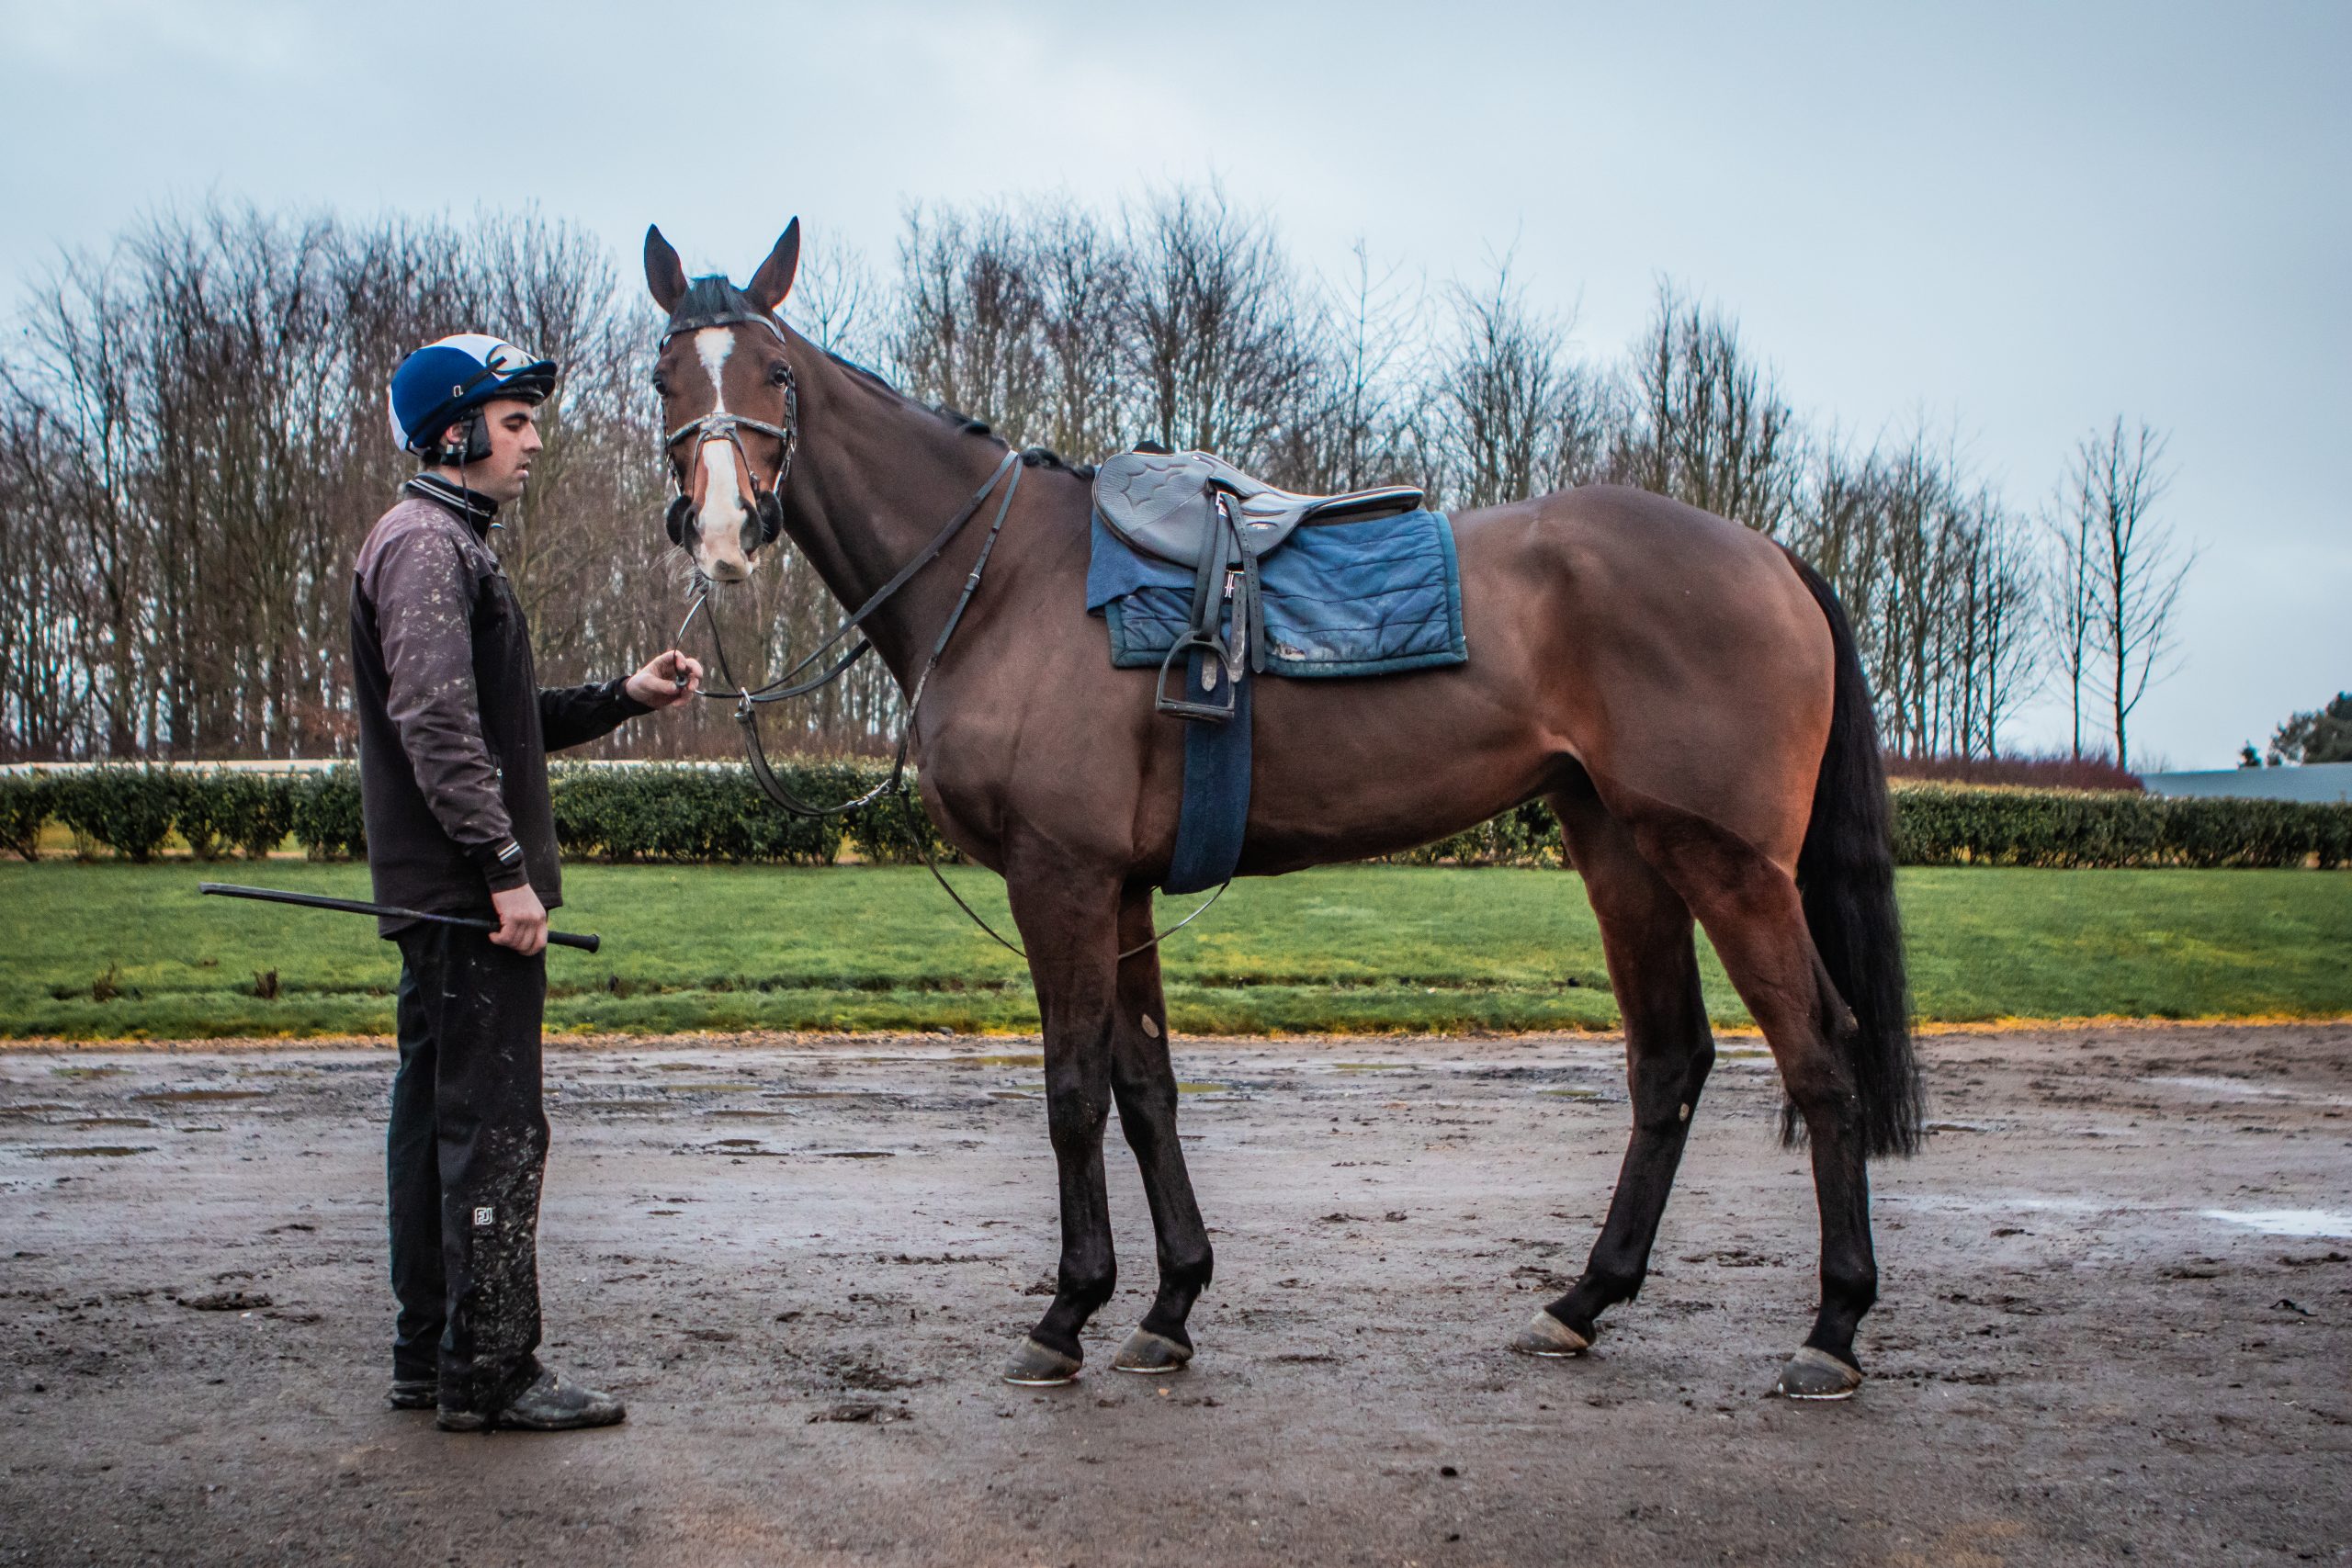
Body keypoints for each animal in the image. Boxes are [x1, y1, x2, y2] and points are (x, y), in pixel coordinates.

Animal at [642, 219, 1921, 1401]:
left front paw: (1068, 1312)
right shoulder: (1121, 890)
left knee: (1822, 1055)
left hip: (1728, 862)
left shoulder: (1060, 877)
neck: (1003, 580)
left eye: (776, 374)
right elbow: (1144, 1090)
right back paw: (1582, 1301)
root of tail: (1768, 555)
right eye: (665, 377)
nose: (721, 528)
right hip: (1621, 846)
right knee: (1668, 1063)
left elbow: (1071, 1092)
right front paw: (1168, 1304)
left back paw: (1831, 1326)